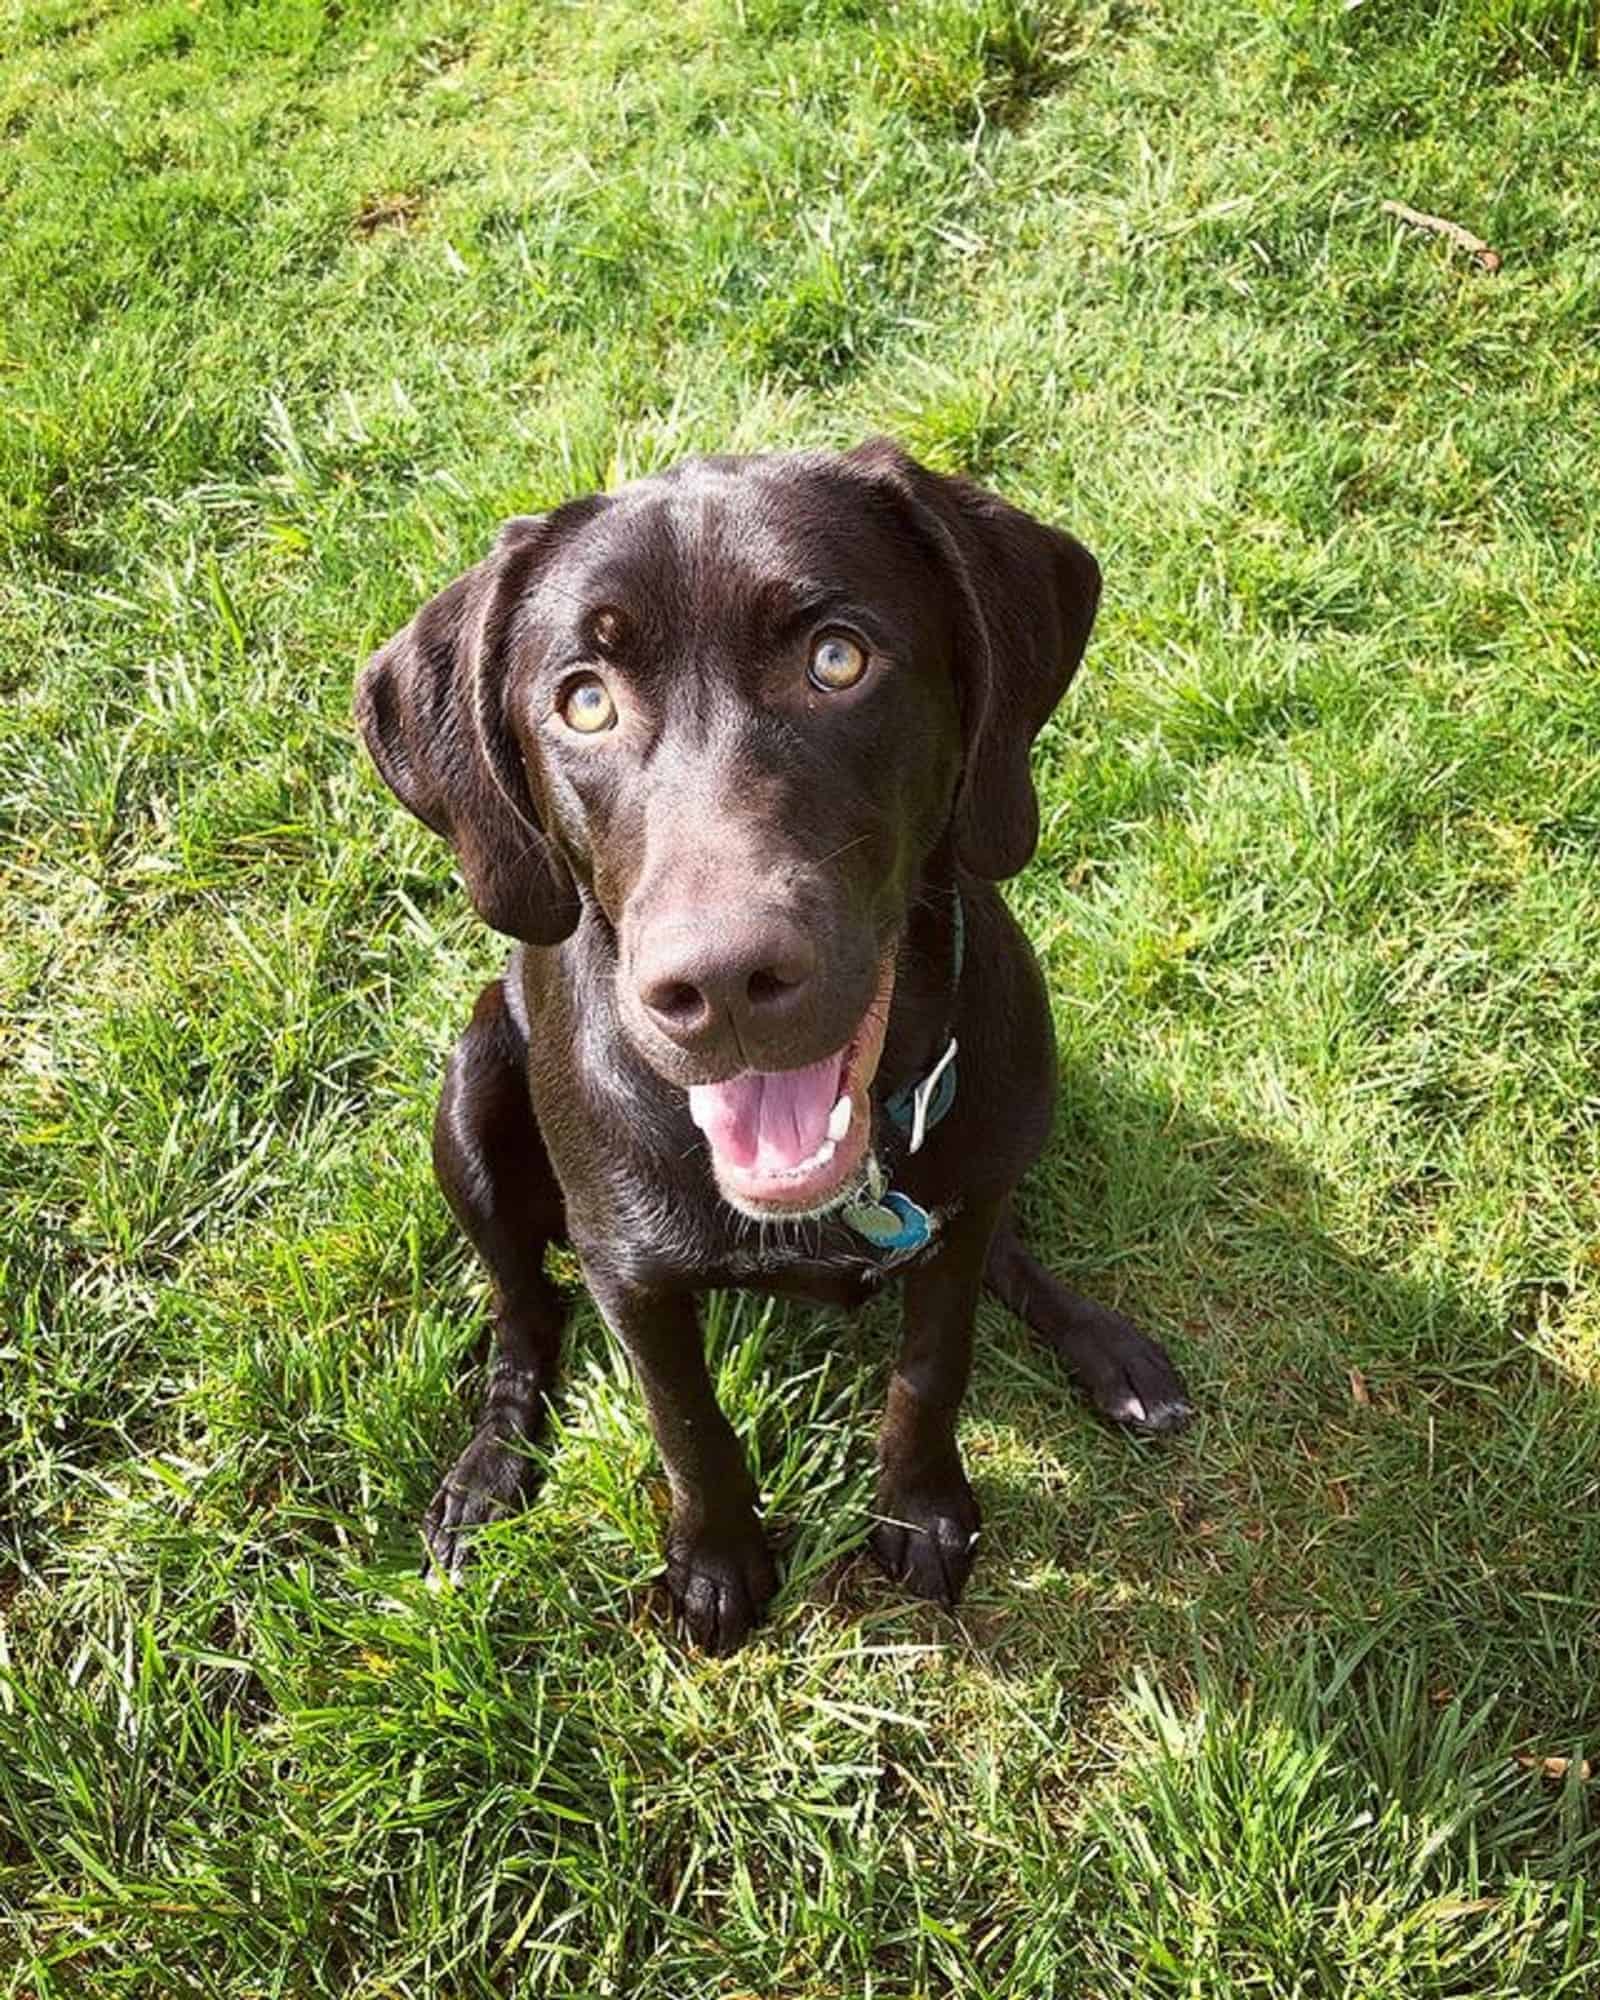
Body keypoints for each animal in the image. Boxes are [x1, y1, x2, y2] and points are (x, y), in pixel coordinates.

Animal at [362, 446, 1184, 1648]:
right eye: (585, 701)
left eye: (836, 658)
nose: (722, 985)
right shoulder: (629, 1276)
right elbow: (685, 1422)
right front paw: (716, 1560)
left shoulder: (955, 1215)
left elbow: (932, 1364)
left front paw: (922, 1507)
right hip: (467, 1104)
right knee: (521, 1306)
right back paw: (488, 1468)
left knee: (998, 1238)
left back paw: (1106, 1348)